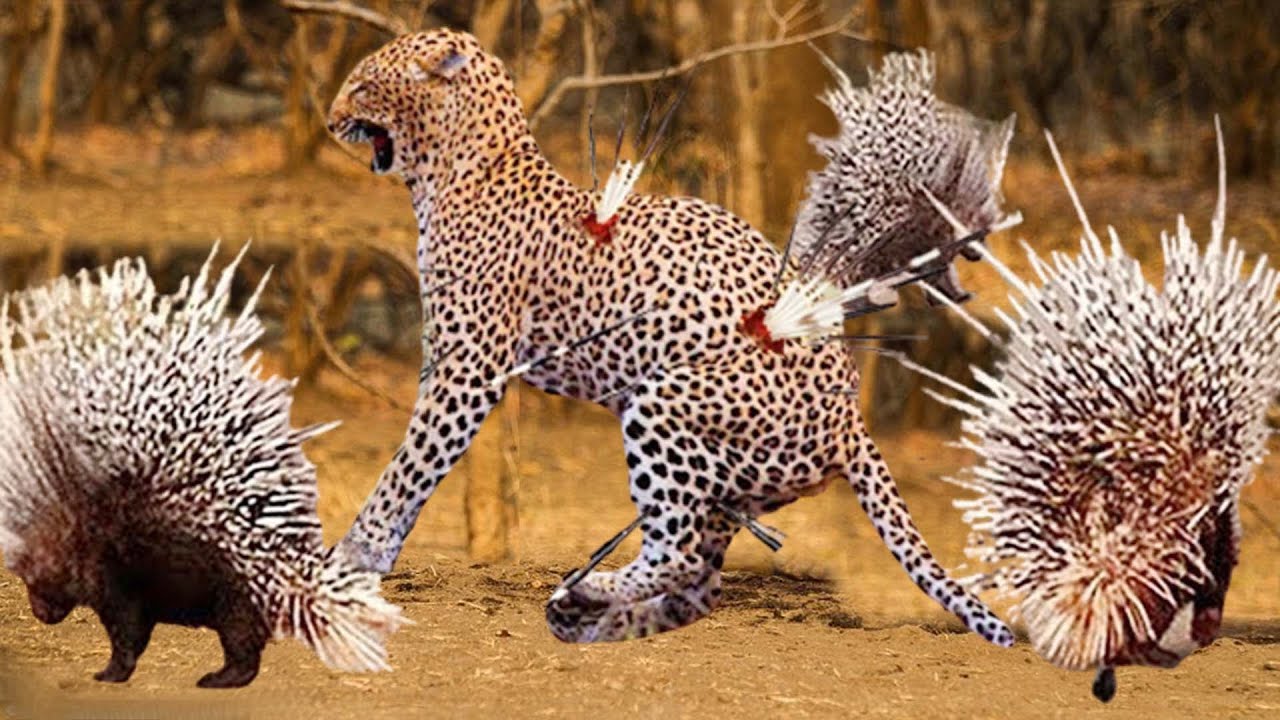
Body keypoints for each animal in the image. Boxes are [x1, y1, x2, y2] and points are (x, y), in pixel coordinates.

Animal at [325, 27, 1013, 647]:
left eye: (361, 85)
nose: (331, 121)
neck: (458, 170)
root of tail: (852, 422)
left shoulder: (468, 369)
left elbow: (409, 467)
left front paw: (352, 557)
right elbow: (412, 468)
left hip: (663, 403)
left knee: (680, 552)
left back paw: (586, 591)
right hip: (730, 476)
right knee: (700, 574)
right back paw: (602, 611)